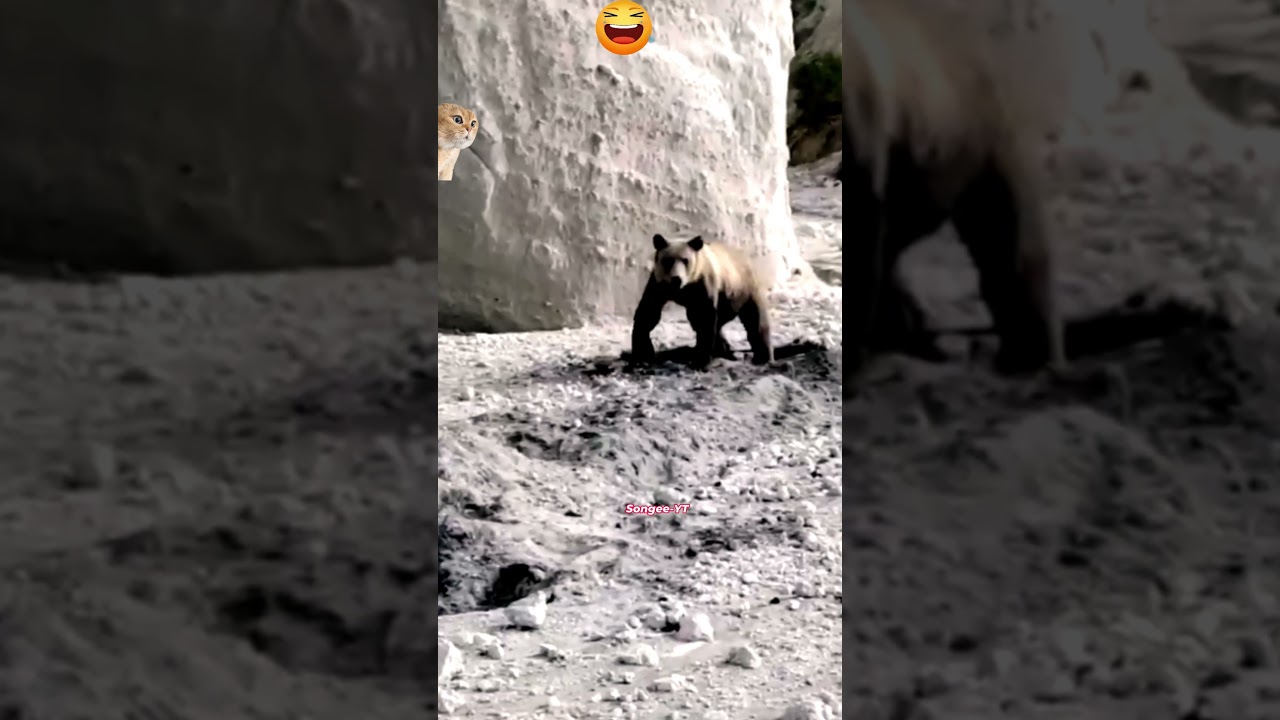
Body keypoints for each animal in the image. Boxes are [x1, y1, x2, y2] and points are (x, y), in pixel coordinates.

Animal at [630, 233, 773, 369]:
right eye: (668, 261)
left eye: (685, 260)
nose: (676, 279)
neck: (682, 289)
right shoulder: (658, 284)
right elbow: (648, 312)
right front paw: (642, 355)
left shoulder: (703, 283)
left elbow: (705, 318)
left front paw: (700, 361)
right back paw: (723, 348)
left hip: (741, 289)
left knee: (754, 320)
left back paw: (762, 357)